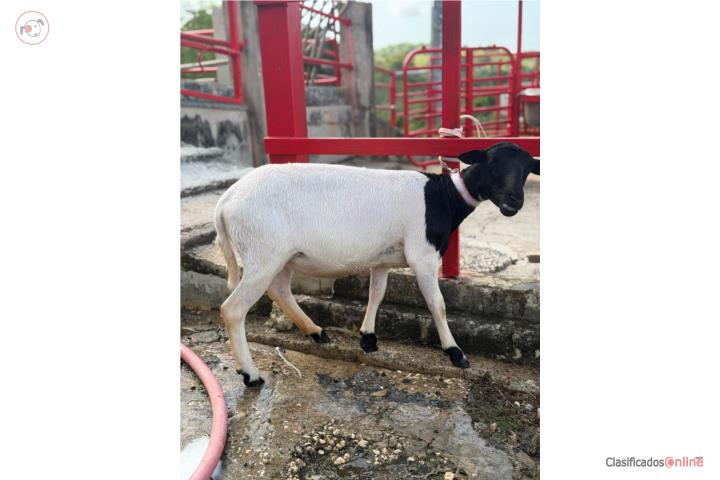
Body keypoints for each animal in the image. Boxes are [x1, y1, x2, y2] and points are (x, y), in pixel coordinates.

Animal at [214, 142, 539, 387]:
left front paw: (368, 338)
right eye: (493, 166)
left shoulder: (382, 258)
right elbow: (437, 304)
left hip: (281, 255)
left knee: (280, 289)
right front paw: (456, 353)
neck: (443, 198)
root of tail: (225, 201)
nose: (514, 202)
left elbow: (377, 293)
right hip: (264, 252)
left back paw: (316, 331)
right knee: (233, 309)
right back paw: (250, 374)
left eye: (525, 171)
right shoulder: (422, 254)